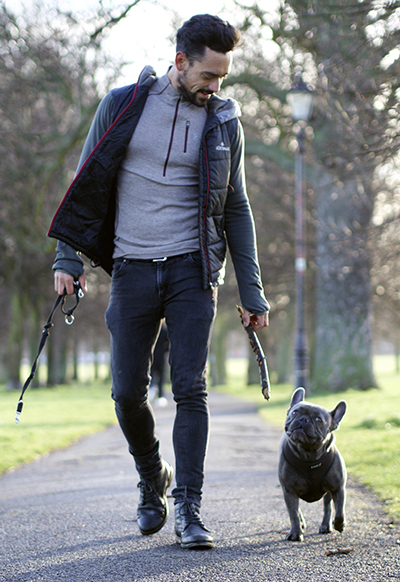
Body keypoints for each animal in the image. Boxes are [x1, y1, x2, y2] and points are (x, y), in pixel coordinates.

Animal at [278, 388, 346, 544]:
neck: (309, 454)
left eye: (318, 420)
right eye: (295, 412)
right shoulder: (289, 490)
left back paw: (326, 525)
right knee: (297, 511)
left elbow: (339, 510)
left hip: (328, 492)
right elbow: (293, 514)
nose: (303, 419)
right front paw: (295, 533)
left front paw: (339, 524)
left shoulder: (338, 488)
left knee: (327, 507)